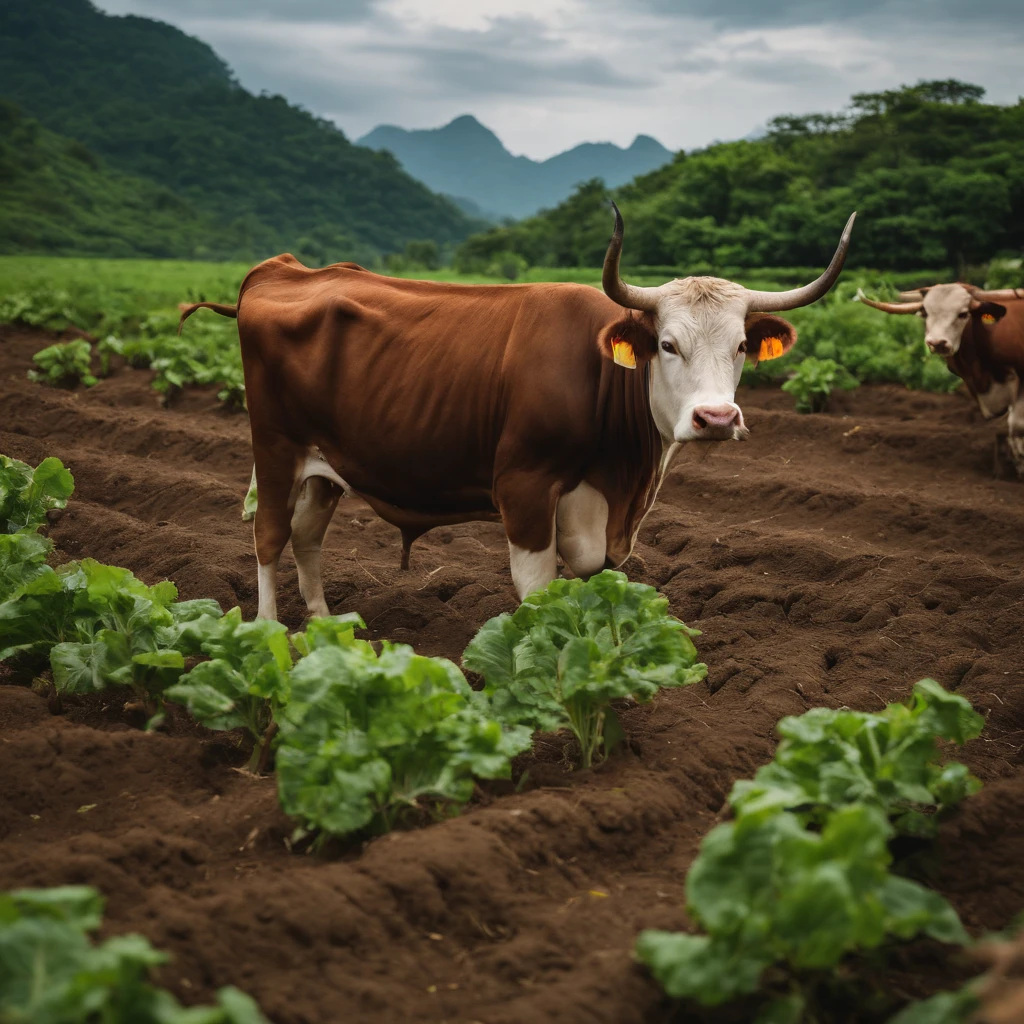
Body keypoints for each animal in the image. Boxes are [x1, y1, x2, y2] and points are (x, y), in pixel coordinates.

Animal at [182, 205, 856, 614]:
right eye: (667, 344)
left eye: (741, 345)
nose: (716, 419)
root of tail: (282, 271)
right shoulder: (524, 488)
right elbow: (537, 593)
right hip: (274, 447)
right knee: (269, 535)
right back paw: (271, 634)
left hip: (328, 464)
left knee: (306, 535)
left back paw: (325, 629)